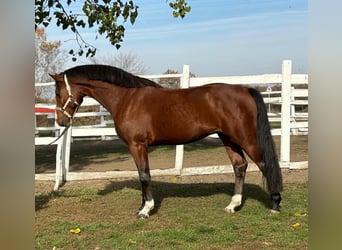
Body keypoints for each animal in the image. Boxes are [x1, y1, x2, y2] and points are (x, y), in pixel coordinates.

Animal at [48, 64, 284, 219]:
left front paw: (146, 210)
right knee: (239, 166)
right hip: (228, 138)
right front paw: (143, 205)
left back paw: (275, 203)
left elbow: (144, 176)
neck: (127, 99)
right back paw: (233, 205)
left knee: (265, 165)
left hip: (245, 138)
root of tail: (245, 89)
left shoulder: (137, 145)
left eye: (58, 92)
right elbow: (141, 175)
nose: (61, 121)